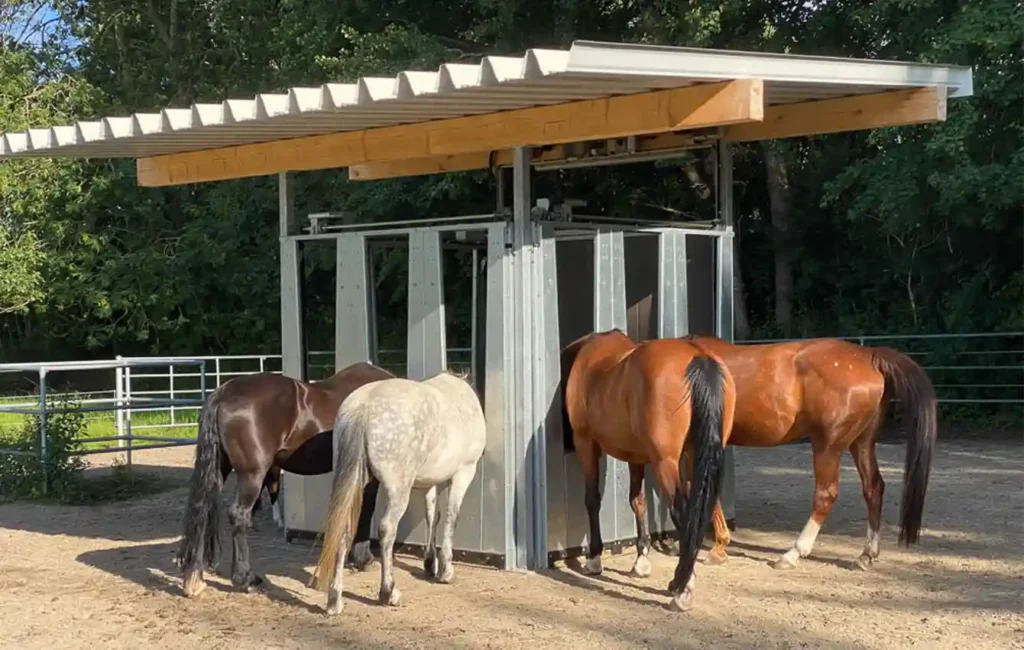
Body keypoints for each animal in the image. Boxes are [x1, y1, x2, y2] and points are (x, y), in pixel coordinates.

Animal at [176, 361, 395, 598]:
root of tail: (223, 394)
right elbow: (366, 510)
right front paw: (364, 558)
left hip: (220, 469)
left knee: (203, 511)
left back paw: (194, 580)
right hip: (253, 474)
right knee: (239, 515)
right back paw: (246, 579)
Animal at [311, 370, 486, 615]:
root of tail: (363, 407)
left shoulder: (429, 482)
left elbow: (432, 516)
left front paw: (430, 563)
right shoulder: (464, 472)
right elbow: (451, 517)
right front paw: (446, 570)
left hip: (355, 482)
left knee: (344, 530)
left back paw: (335, 600)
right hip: (398, 488)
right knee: (387, 529)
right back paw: (388, 592)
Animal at [561, 329, 736, 612]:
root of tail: (698, 358)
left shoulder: (585, 443)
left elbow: (592, 499)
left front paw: (595, 558)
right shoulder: (636, 456)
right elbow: (638, 501)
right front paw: (641, 559)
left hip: (666, 462)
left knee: (682, 512)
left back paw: (682, 587)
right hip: (696, 455)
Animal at [682, 335, 937, 571]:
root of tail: (869, 356)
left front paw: (715, 546)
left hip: (827, 446)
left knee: (826, 495)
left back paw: (793, 554)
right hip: (861, 443)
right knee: (873, 488)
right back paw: (866, 555)